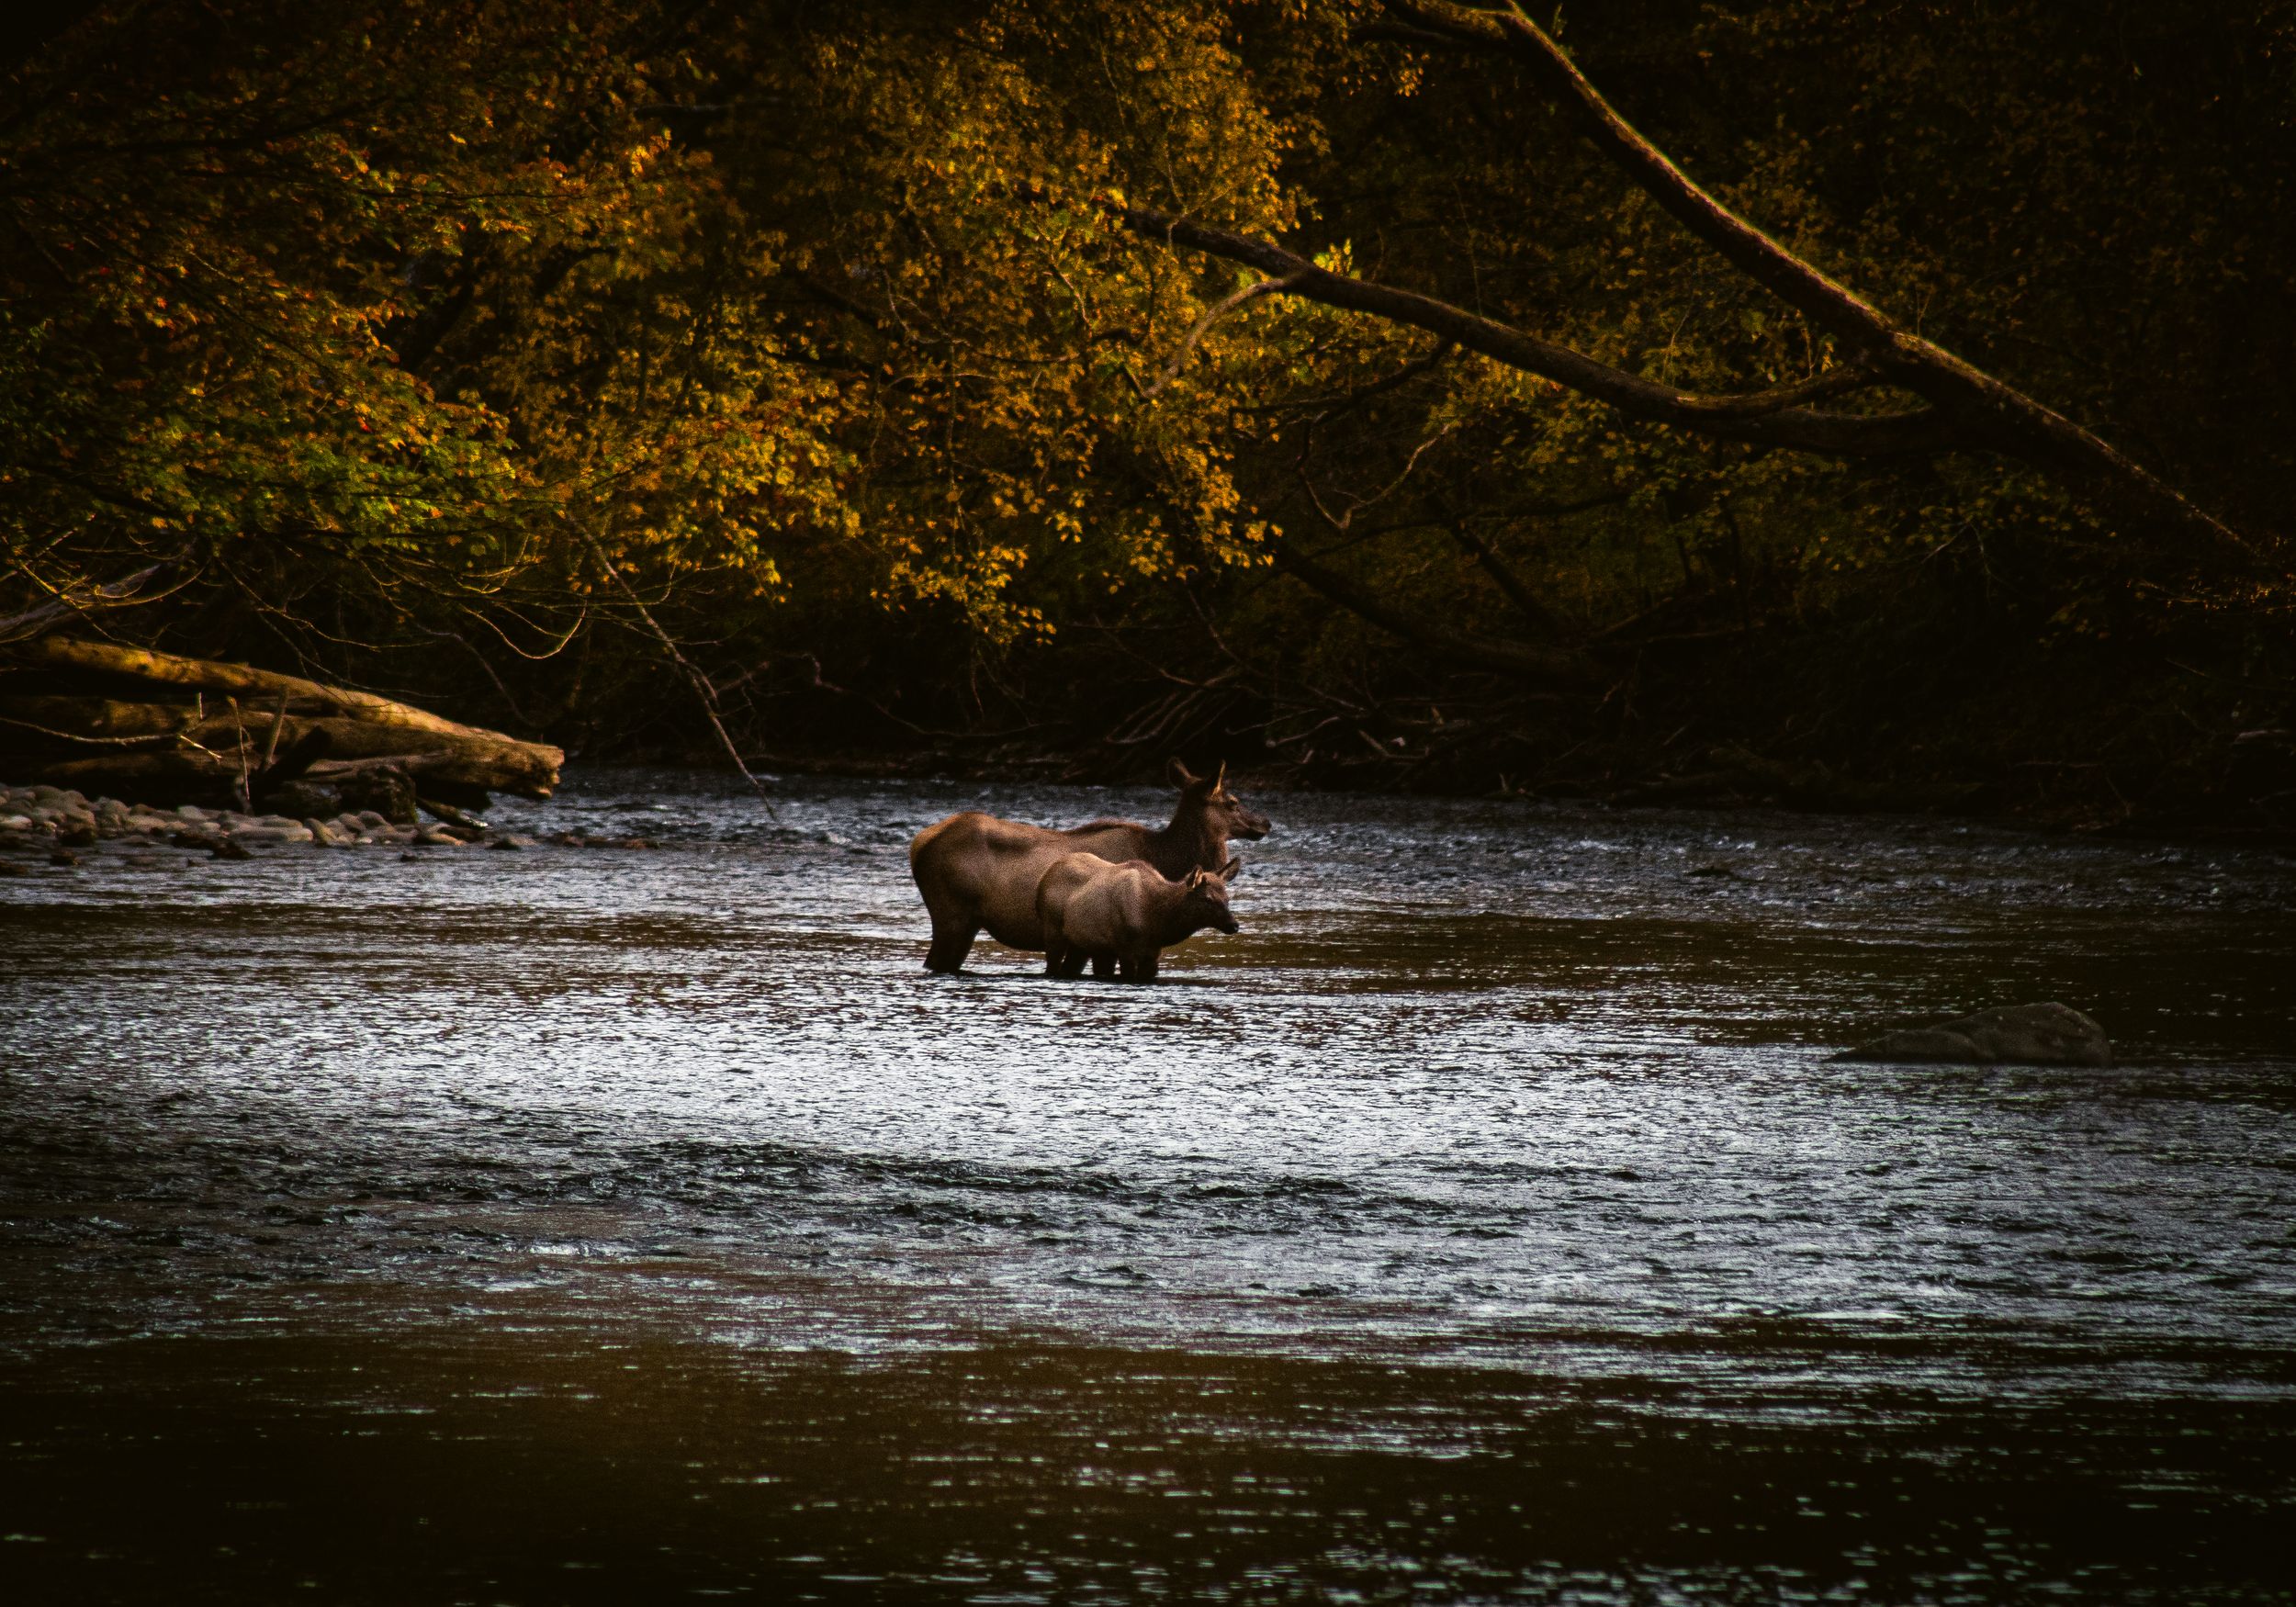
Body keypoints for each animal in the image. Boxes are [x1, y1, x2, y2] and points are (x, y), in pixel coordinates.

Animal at [906, 759, 1269, 973]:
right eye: (1232, 801)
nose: (1265, 822)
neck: (1167, 859)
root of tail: (918, 843)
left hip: (966, 921)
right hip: (952, 915)